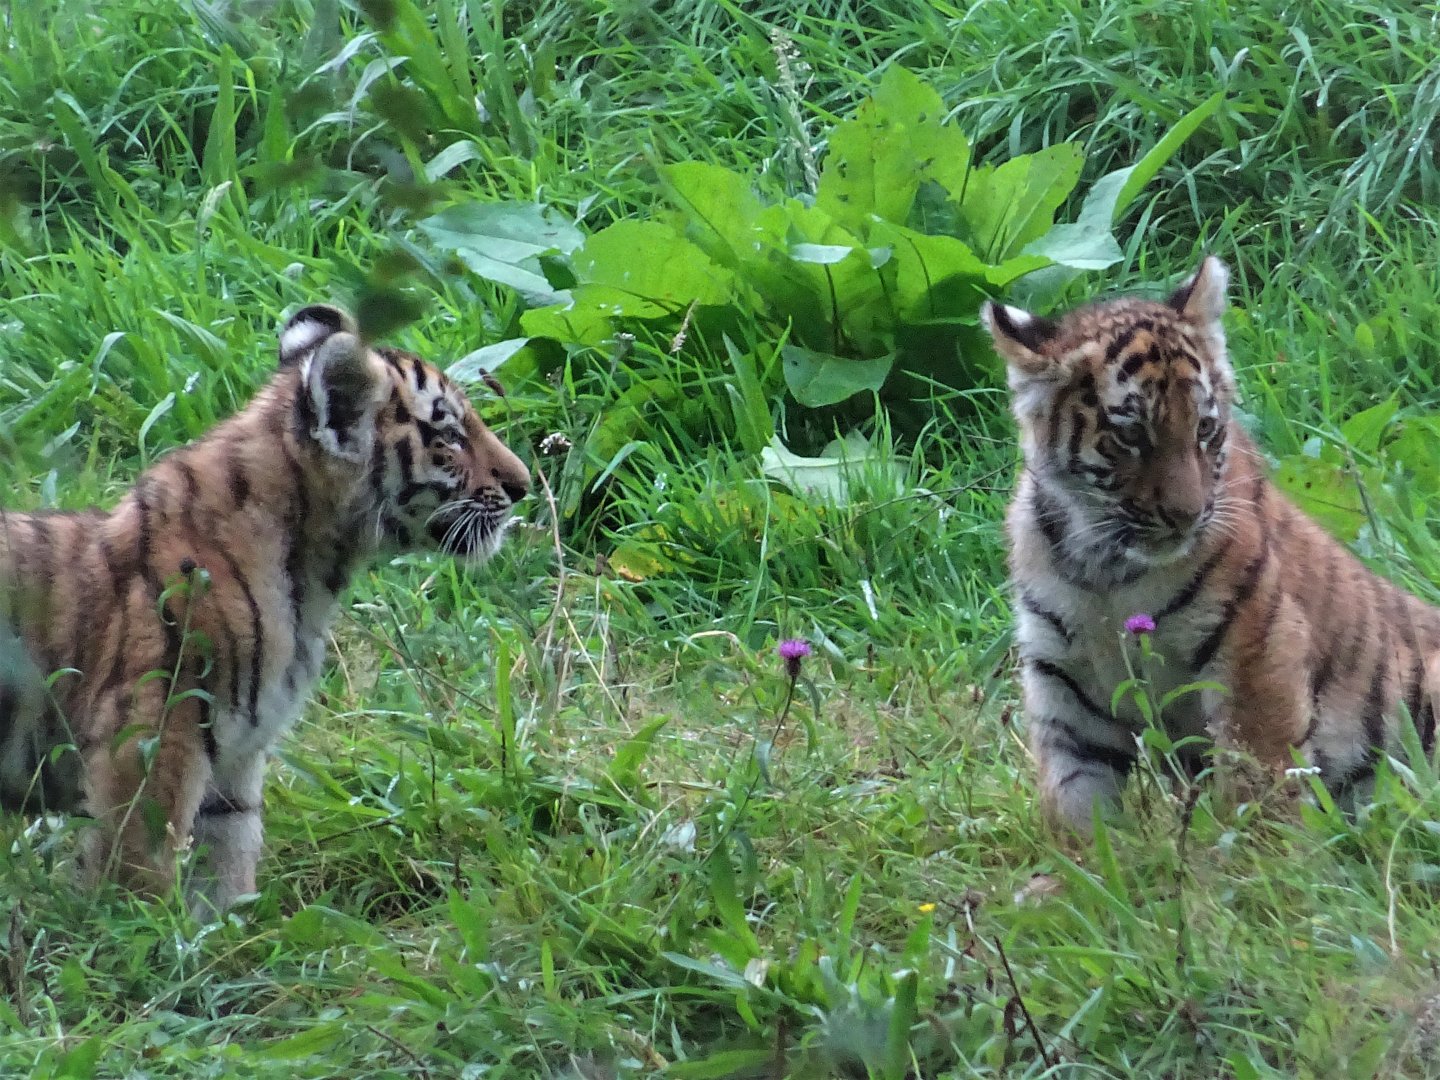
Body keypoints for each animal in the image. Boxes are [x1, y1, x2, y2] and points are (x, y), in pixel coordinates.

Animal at [0, 304, 530, 912]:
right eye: (449, 435)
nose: (523, 485)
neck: (315, 570)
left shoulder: (234, 760)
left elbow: (225, 872)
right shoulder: (148, 739)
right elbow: (138, 875)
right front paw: (133, 931)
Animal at [982, 257, 1440, 832]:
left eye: (1204, 428)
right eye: (1131, 435)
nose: (1187, 514)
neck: (1103, 566)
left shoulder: (1256, 654)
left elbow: (1258, 784)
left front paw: (1261, 854)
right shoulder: (1063, 683)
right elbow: (1075, 804)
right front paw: (1079, 855)